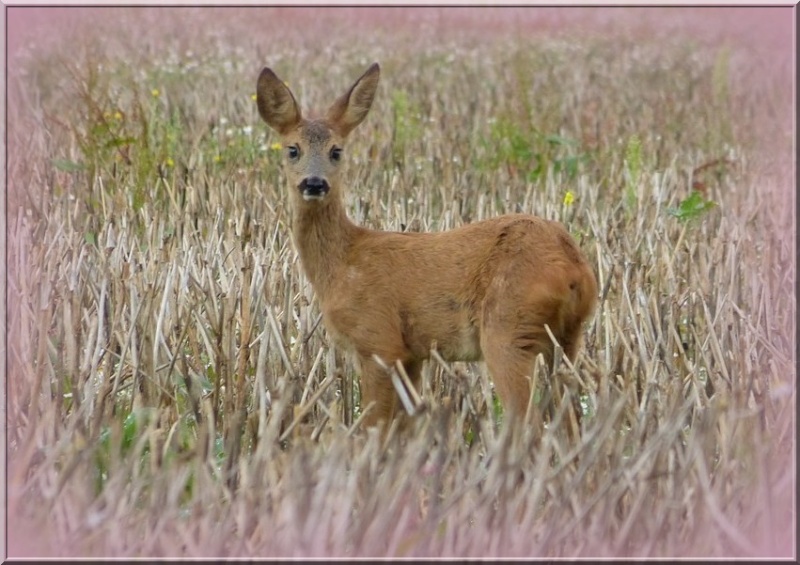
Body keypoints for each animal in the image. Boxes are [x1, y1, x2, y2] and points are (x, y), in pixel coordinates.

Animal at [253, 60, 596, 432]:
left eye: (336, 151)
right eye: (293, 149)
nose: (314, 183)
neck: (342, 262)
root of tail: (574, 267)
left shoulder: (379, 340)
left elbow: (373, 425)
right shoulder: (413, 355)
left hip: (508, 328)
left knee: (527, 421)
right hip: (569, 337)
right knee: (571, 417)